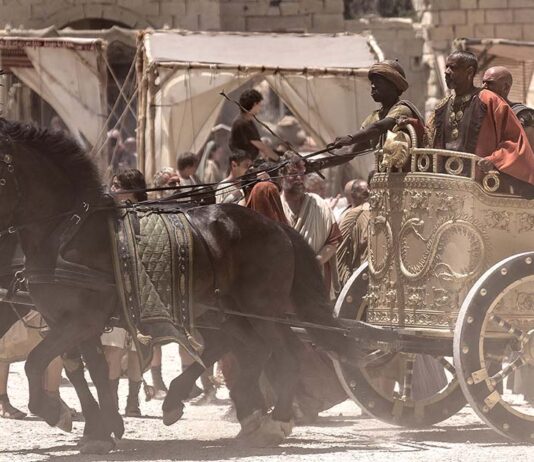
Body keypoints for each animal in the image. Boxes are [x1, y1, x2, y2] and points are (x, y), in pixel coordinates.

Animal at [0, 119, 364, 452]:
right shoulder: (70, 323)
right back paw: (227, 410)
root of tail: (275, 227)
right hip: (227, 312)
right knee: (249, 350)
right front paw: (100, 429)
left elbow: (37, 362)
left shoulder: (80, 321)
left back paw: (275, 421)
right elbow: (90, 371)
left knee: (284, 354)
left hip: (261, 310)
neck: (69, 230)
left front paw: (55, 411)